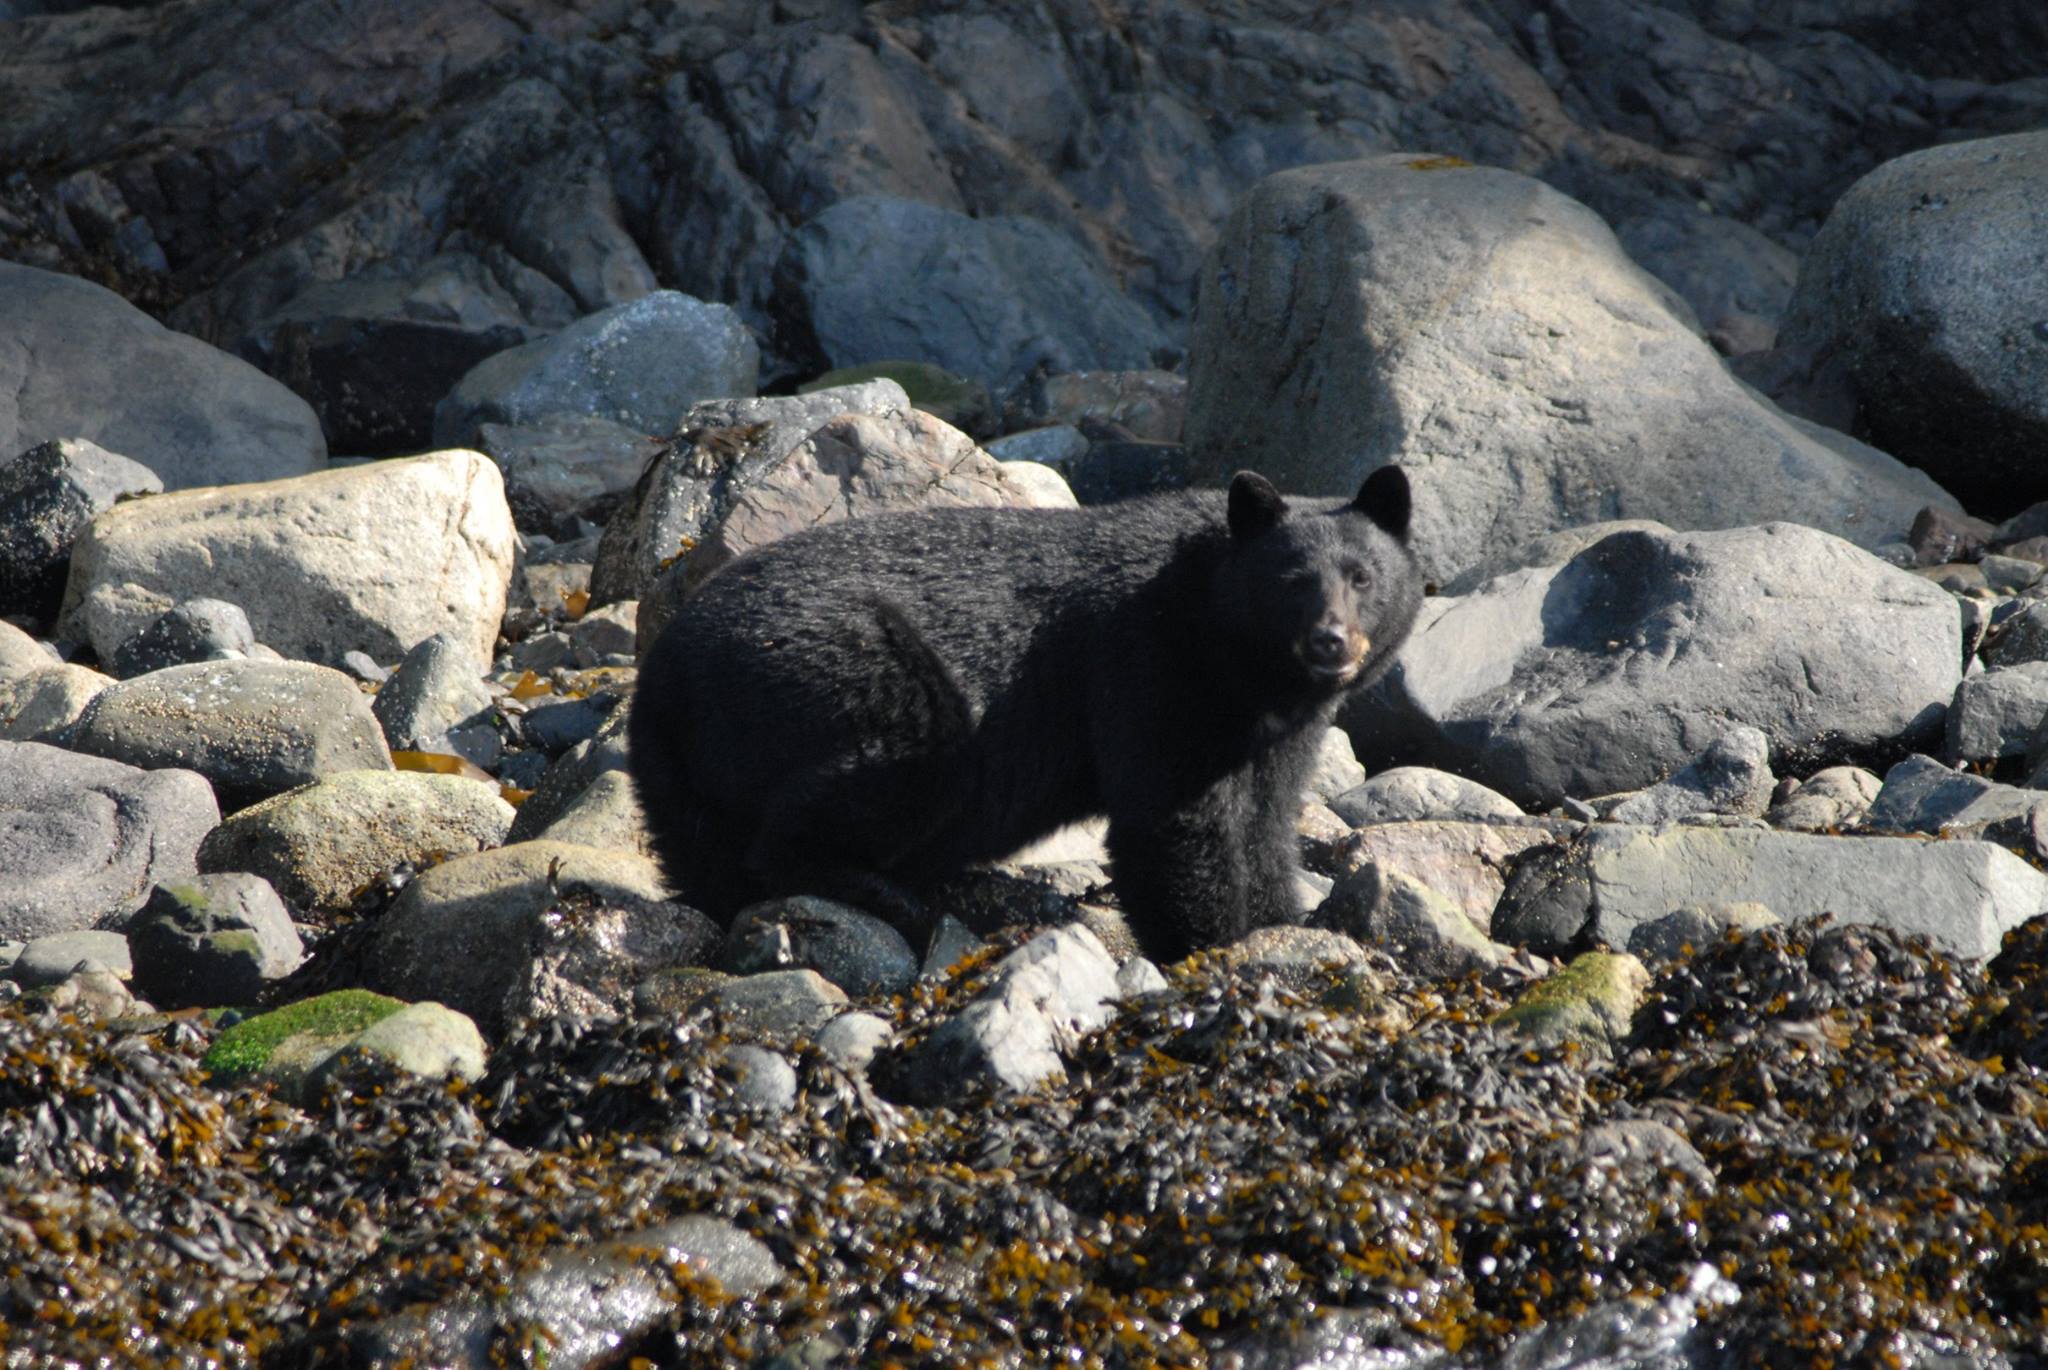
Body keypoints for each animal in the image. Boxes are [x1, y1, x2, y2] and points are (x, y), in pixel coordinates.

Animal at [627, 466, 1421, 963]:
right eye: (1290, 580)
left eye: (1362, 577)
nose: (1329, 641)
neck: (1239, 660)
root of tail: (663, 674)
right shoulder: (1147, 662)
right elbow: (1172, 816)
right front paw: (1217, 944)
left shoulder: (1278, 728)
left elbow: (1267, 819)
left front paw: (1283, 922)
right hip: (849, 673)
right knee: (873, 779)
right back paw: (887, 893)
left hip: (677, 773)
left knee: (706, 859)